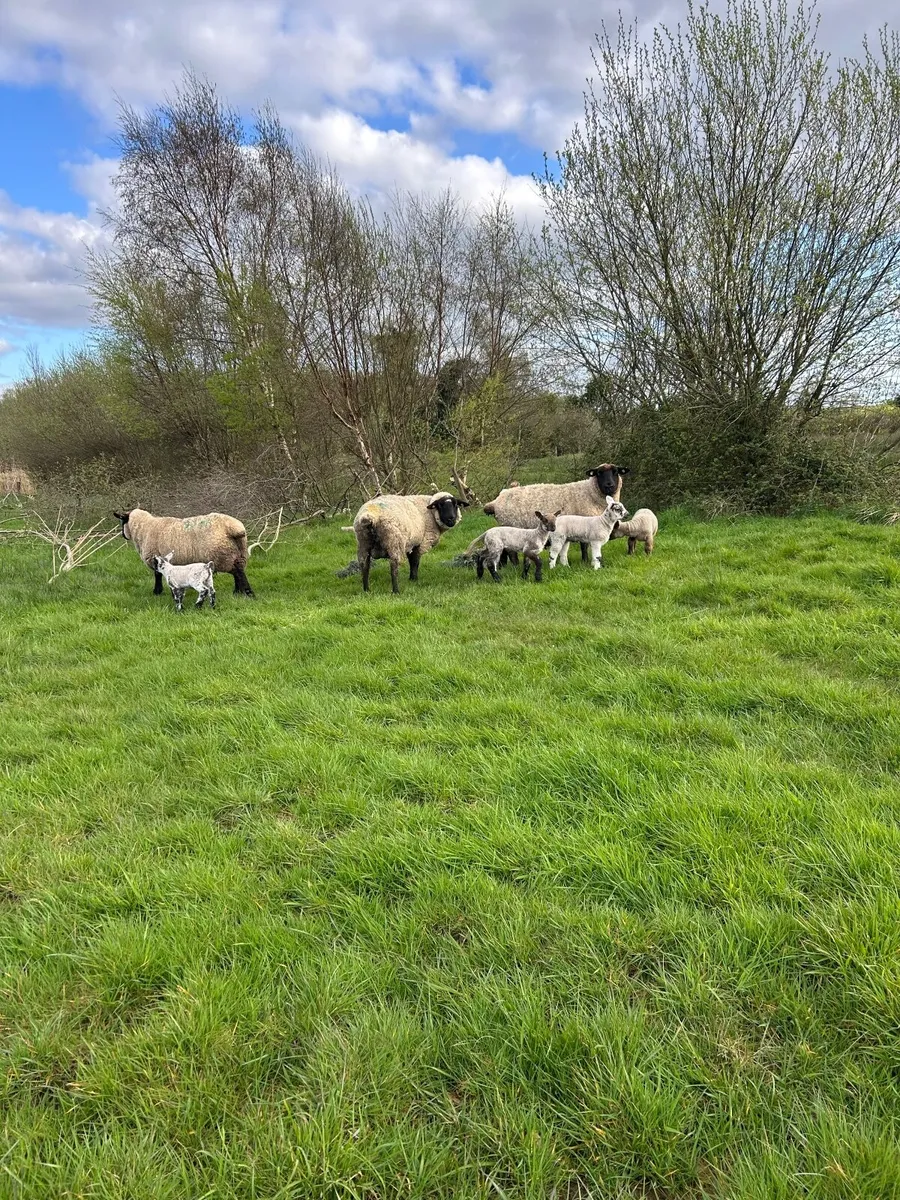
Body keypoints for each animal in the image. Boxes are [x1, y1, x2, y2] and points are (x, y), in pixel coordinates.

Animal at [113, 508, 253, 596]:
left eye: (122, 520)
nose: (123, 535)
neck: (144, 529)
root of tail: (234, 527)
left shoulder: (154, 557)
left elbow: (157, 575)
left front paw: (157, 591)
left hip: (222, 554)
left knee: (237, 571)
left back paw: (248, 593)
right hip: (239, 553)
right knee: (238, 570)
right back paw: (238, 592)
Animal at [482, 464, 629, 565]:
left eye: (616, 472)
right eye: (599, 473)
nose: (609, 485)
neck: (590, 494)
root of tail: (497, 500)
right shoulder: (585, 524)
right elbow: (584, 546)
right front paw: (585, 561)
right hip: (510, 527)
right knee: (511, 552)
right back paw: (515, 565)